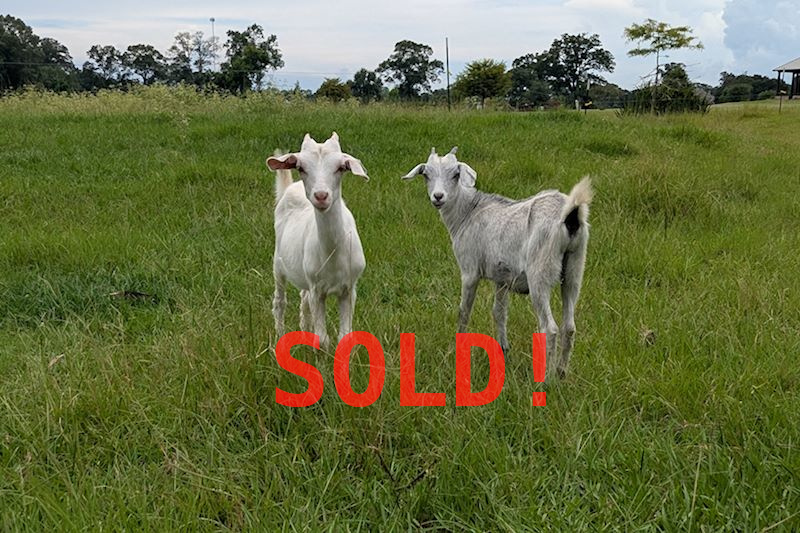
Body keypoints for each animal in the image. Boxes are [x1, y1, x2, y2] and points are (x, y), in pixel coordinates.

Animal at [267, 132, 369, 348]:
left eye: (341, 167)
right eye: (300, 167)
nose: (321, 195)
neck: (333, 253)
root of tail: (290, 187)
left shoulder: (349, 288)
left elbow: (345, 336)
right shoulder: (317, 289)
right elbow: (322, 339)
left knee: (303, 299)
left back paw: (304, 332)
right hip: (278, 264)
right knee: (279, 302)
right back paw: (280, 336)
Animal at [403, 148, 592, 380]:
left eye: (456, 174)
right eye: (426, 174)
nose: (438, 197)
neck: (467, 213)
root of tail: (570, 215)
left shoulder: (469, 270)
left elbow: (464, 311)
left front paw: (458, 349)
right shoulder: (502, 277)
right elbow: (499, 313)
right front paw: (504, 350)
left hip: (540, 273)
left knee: (550, 328)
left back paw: (546, 380)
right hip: (574, 270)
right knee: (569, 326)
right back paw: (561, 373)